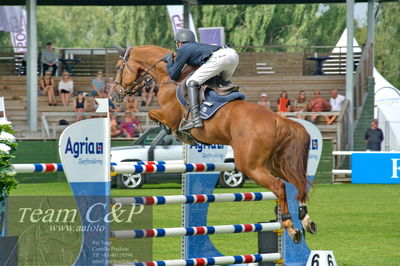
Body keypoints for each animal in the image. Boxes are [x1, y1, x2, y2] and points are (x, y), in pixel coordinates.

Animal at [111, 44, 316, 243]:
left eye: (118, 68)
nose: (113, 96)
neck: (167, 76)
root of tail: (277, 119)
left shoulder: (170, 115)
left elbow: (153, 114)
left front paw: (178, 132)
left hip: (251, 166)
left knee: (280, 187)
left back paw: (290, 226)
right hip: (275, 164)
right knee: (297, 184)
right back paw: (306, 220)